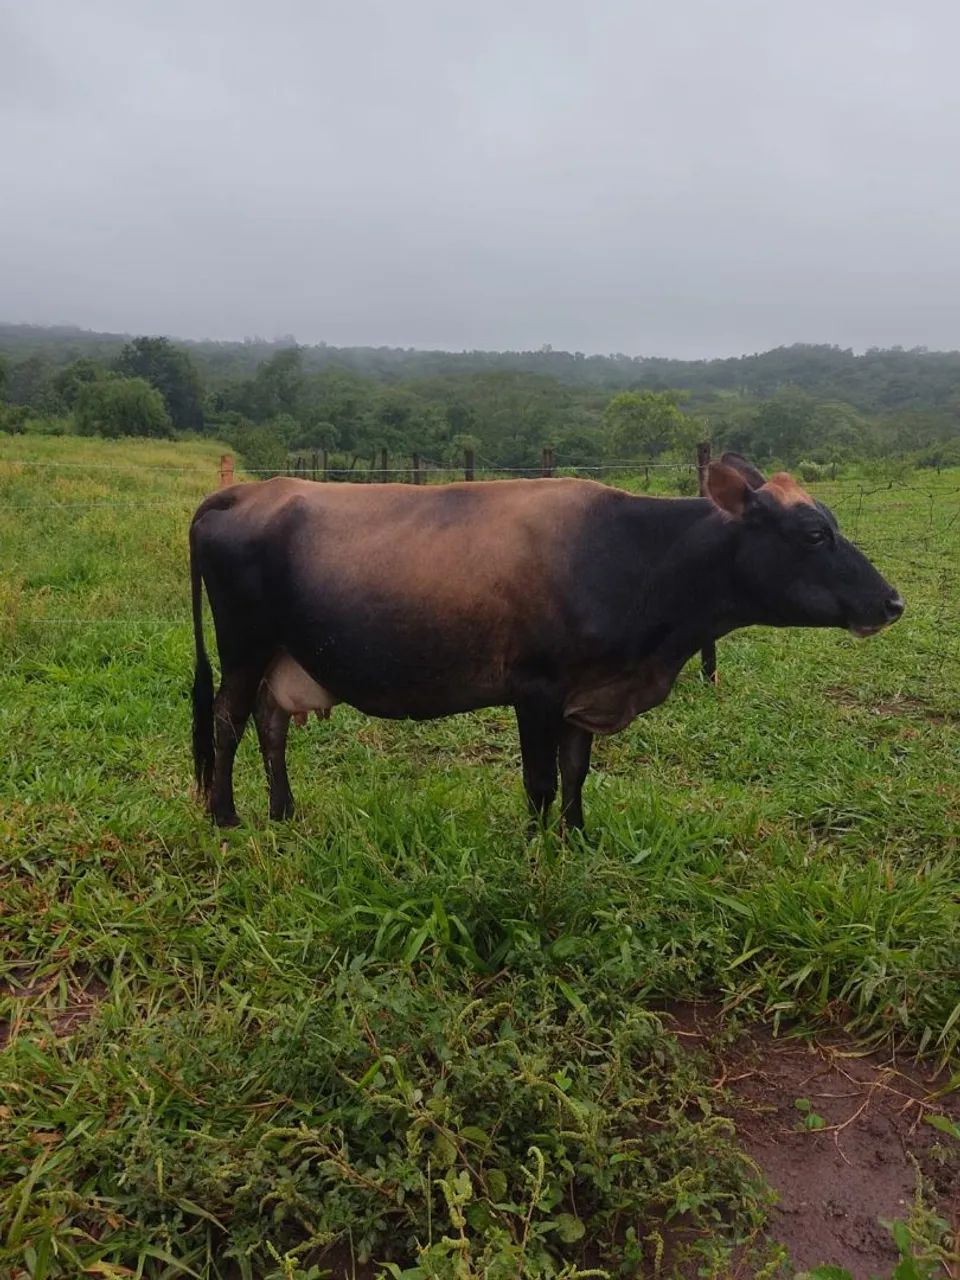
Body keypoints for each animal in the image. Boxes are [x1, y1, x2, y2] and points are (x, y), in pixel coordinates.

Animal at [188, 454, 903, 831]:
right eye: (813, 534)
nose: (893, 602)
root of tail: (248, 490)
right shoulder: (534, 689)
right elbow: (539, 781)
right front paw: (535, 849)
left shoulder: (585, 694)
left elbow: (575, 771)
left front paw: (577, 838)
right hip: (244, 644)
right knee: (227, 719)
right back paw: (226, 818)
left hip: (283, 654)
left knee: (270, 723)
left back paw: (284, 813)